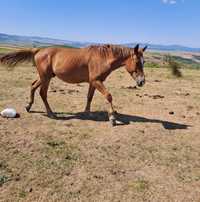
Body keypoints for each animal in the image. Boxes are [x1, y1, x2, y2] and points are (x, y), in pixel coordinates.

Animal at [0, 44, 147, 125]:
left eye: (144, 62)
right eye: (137, 62)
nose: (142, 82)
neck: (103, 57)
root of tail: (38, 50)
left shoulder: (93, 82)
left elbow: (89, 97)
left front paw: (88, 113)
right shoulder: (97, 81)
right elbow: (109, 96)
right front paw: (112, 118)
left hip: (45, 77)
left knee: (33, 86)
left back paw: (28, 106)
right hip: (46, 78)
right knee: (43, 93)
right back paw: (51, 114)